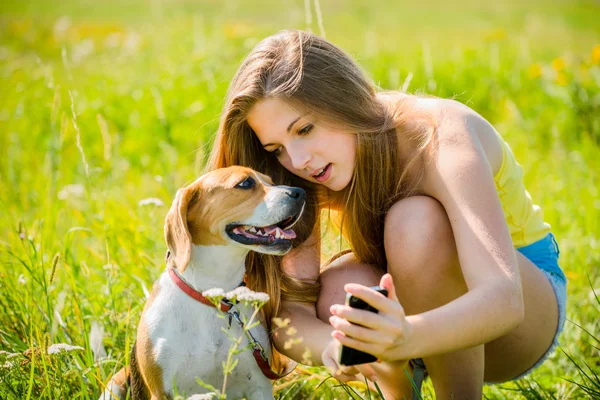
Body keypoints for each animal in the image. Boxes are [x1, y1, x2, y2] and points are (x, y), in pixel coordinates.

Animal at [101, 167, 304, 400]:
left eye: (270, 181)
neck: (213, 295)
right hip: (114, 385)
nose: (300, 192)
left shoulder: (259, 387)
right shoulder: (161, 393)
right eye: (245, 183)